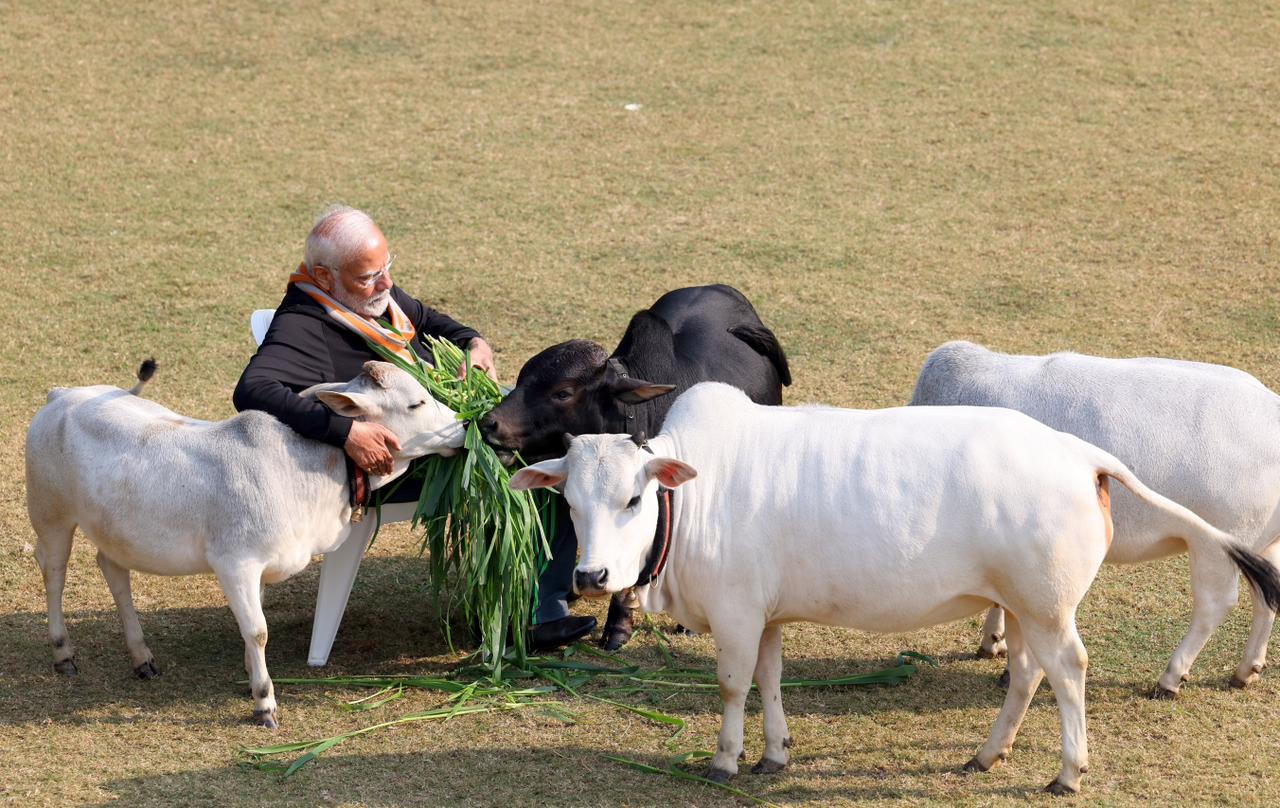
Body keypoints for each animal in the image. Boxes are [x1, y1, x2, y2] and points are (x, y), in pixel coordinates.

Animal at [23, 361, 465, 727]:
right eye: (416, 402)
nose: (463, 427)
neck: (303, 470)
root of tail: (62, 394)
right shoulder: (235, 563)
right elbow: (258, 630)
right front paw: (264, 702)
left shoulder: (261, 568)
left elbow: (253, 624)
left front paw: (253, 675)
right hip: (50, 514)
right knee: (54, 571)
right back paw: (63, 653)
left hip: (115, 531)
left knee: (113, 572)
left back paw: (142, 657)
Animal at [509, 381, 1280, 793]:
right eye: (569, 502)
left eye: (635, 499)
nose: (591, 576)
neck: (700, 493)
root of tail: (1079, 453)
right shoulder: (767, 614)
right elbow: (769, 679)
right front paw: (774, 752)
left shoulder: (734, 612)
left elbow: (731, 685)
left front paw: (726, 759)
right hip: (1023, 607)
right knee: (1028, 673)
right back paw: (987, 753)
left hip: (1048, 605)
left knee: (1068, 672)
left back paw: (1068, 770)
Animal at [911, 340, 1280, 696]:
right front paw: (993, 641)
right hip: (1258, 543)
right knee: (1268, 592)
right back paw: (1246, 670)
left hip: (1220, 542)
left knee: (1214, 604)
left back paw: (1170, 679)